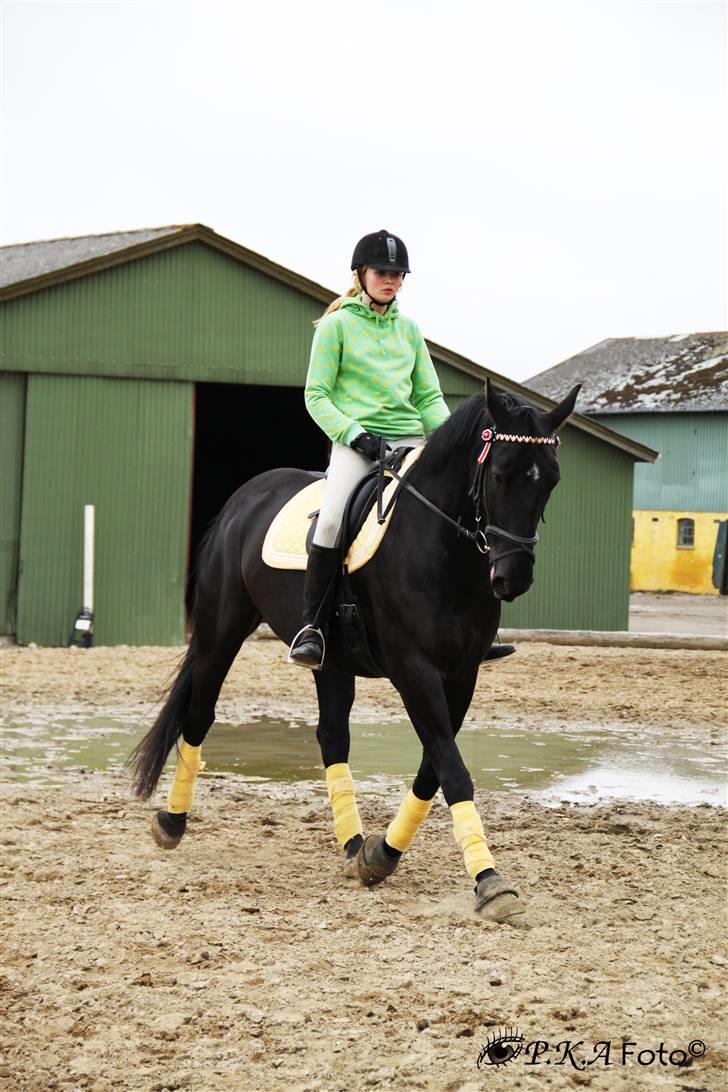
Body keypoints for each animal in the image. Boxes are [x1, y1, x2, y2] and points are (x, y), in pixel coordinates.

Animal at [133, 380, 580, 926]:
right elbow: (453, 771)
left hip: (332, 662)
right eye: (500, 474)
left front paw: (380, 856)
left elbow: (433, 768)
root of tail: (246, 496)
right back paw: (171, 823)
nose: (512, 577)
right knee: (200, 716)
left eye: (550, 480)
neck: (439, 549)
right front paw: (490, 883)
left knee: (332, 737)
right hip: (223, 631)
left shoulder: (461, 674)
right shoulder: (414, 669)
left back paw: (352, 845)